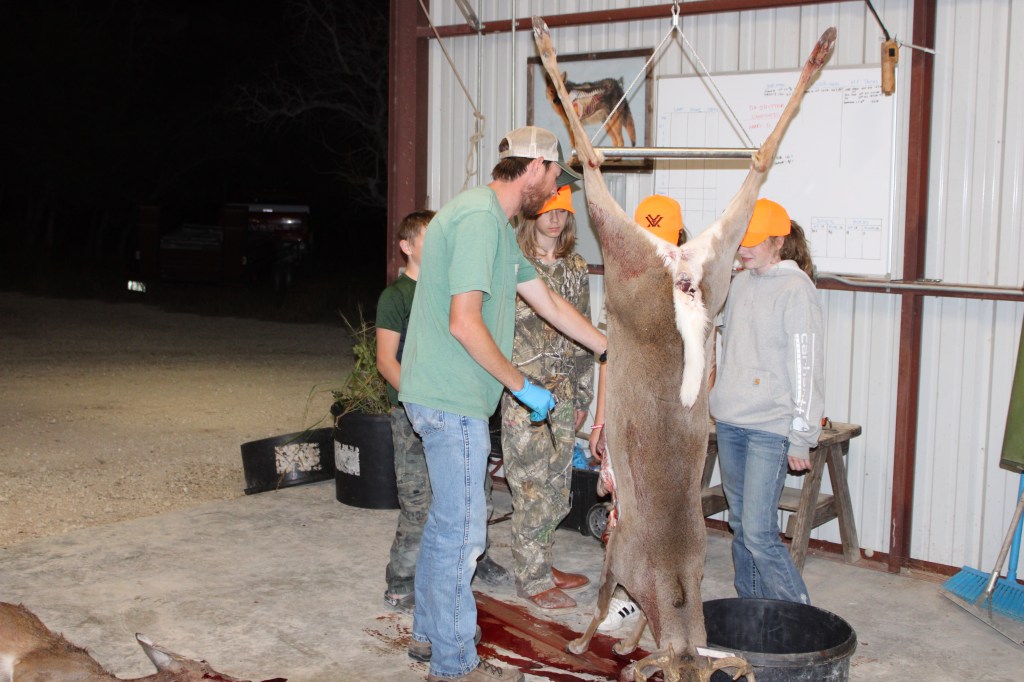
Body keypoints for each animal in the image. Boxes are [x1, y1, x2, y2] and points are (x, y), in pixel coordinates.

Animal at [531, 17, 837, 682]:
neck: (671, 577)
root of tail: (682, 275)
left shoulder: (621, 545)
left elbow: (624, 613)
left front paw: (617, 644)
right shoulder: (620, 551)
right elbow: (603, 603)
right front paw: (584, 644)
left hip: (665, 263)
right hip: (672, 258)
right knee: (599, 161)